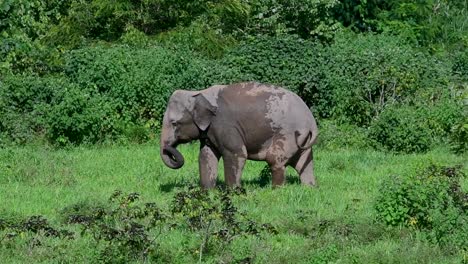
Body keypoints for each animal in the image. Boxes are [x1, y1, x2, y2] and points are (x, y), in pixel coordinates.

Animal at [160, 81, 318, 189]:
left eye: (174, 123)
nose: (171, 147)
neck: (198, 93)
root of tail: (311, 121)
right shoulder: (210, 131)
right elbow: (206, 155)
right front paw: (206, 192)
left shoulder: (225, 125)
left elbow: (236, 154)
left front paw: (232, 192)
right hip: (302, 140)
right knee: (304, 164)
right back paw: (309, 188)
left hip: (288, 134)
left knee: (274, 159)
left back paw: (276, 190)